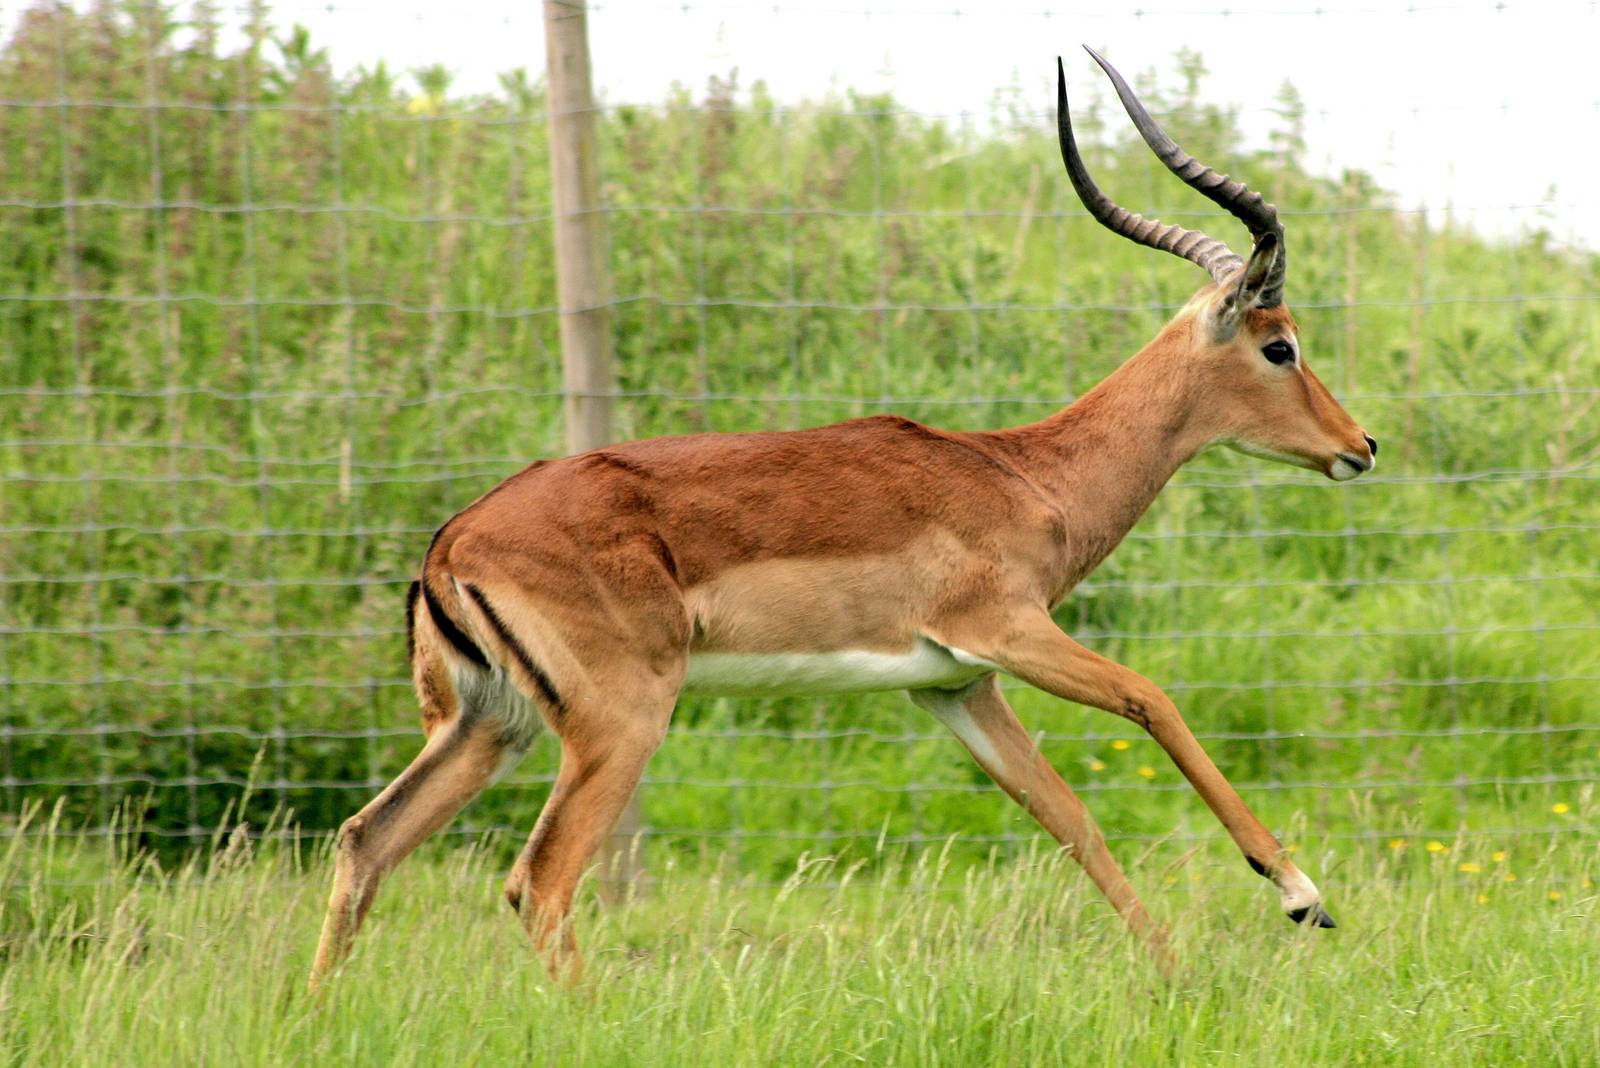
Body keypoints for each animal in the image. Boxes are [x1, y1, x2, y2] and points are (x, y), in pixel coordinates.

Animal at [310, 46, 1376, 989]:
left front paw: (1178, 977)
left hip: (490, 723)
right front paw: (1301, 893)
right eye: (1280, 345)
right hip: (618, 721)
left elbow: (1070, 818)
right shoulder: (1007, 630)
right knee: (538, 882)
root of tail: (452, 543)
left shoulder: (954, 684)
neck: (1025, 474)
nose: (1360, 445)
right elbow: (1151, 698)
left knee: (367, 841)